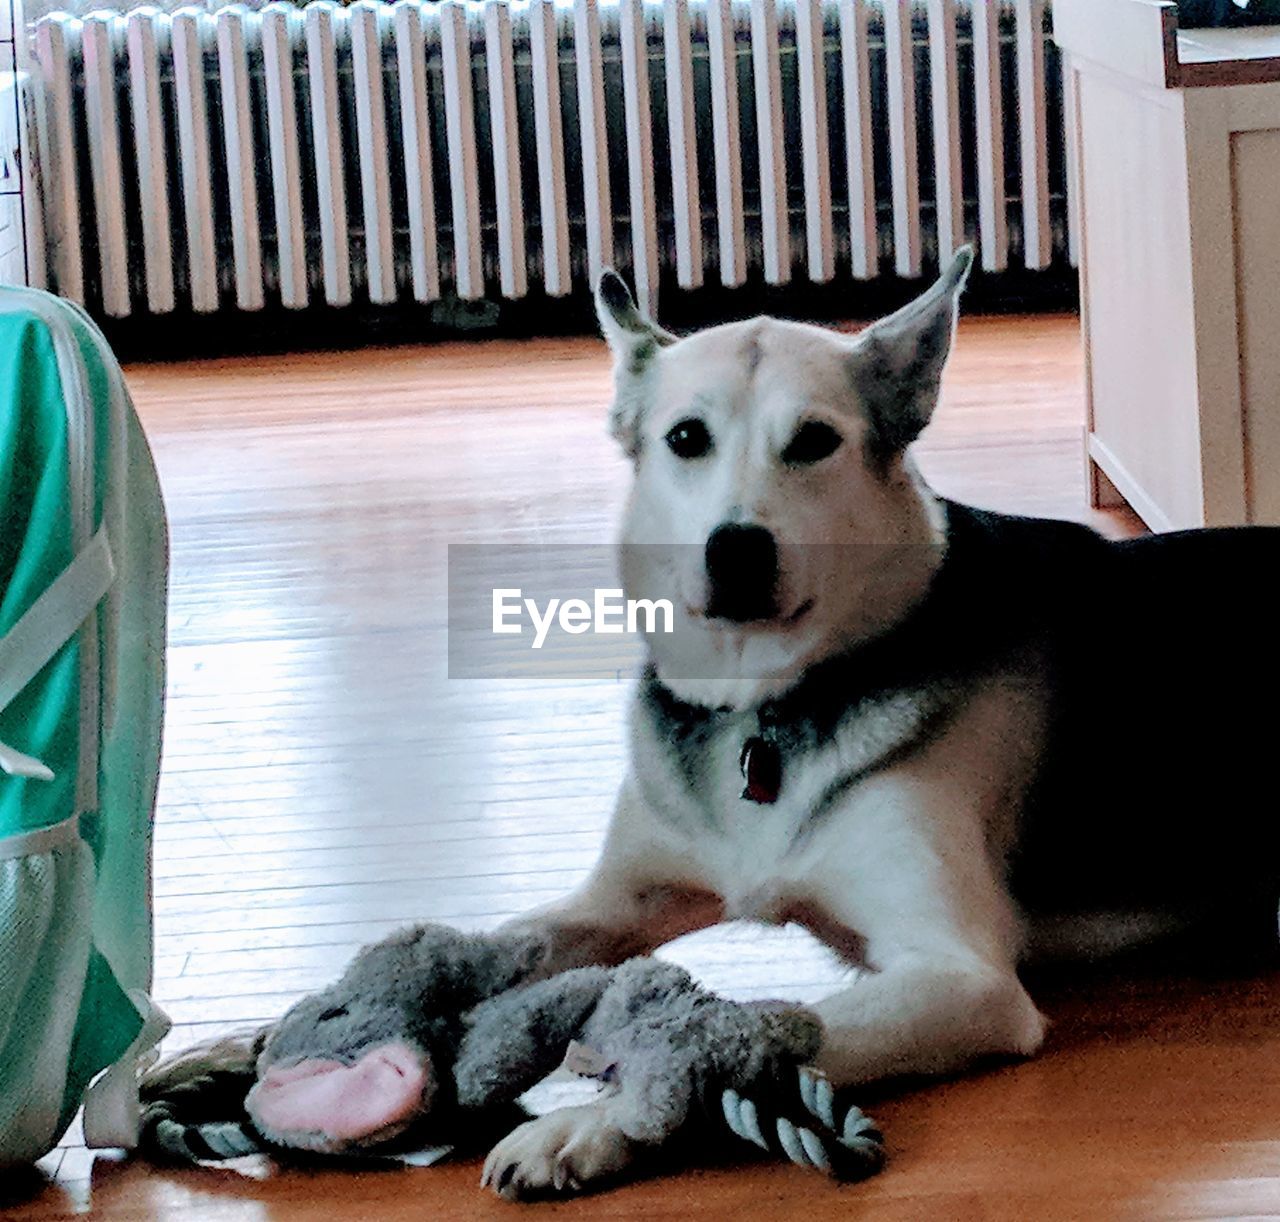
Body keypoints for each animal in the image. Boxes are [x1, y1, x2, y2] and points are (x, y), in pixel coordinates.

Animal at [476, 245, 1274, 1192]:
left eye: (815, 441)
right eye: (686, 439)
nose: (736, 550)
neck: (769, 704)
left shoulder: (962, 980)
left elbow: (758, 1027)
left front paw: (594, 1121)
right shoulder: (617, 899)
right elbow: (499, 945)